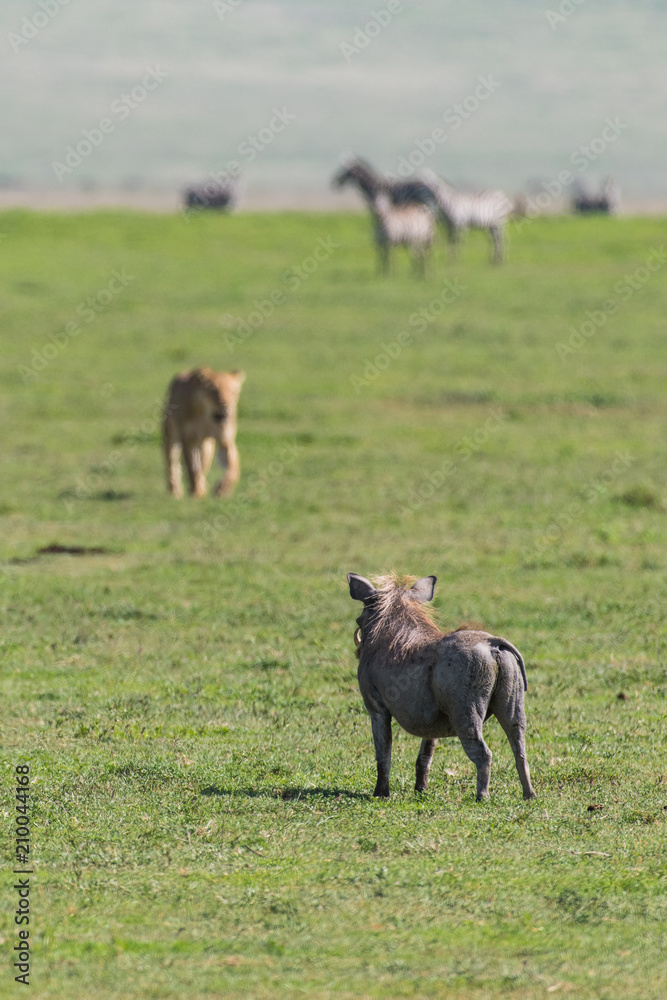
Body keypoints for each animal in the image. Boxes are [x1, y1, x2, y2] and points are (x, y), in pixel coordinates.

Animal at [162, 367, 246, 498]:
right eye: (214, 392)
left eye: (234, 393)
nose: (224, 410)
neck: (206, 417)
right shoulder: (189, 439)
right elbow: (193, 468)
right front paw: (197, 493)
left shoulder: (225, 440)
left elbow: (233, 469)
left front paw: (222, 490)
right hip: (171, 436)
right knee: (172, 463)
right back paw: (175, 491)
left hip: (207, 446)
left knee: (203, 464)